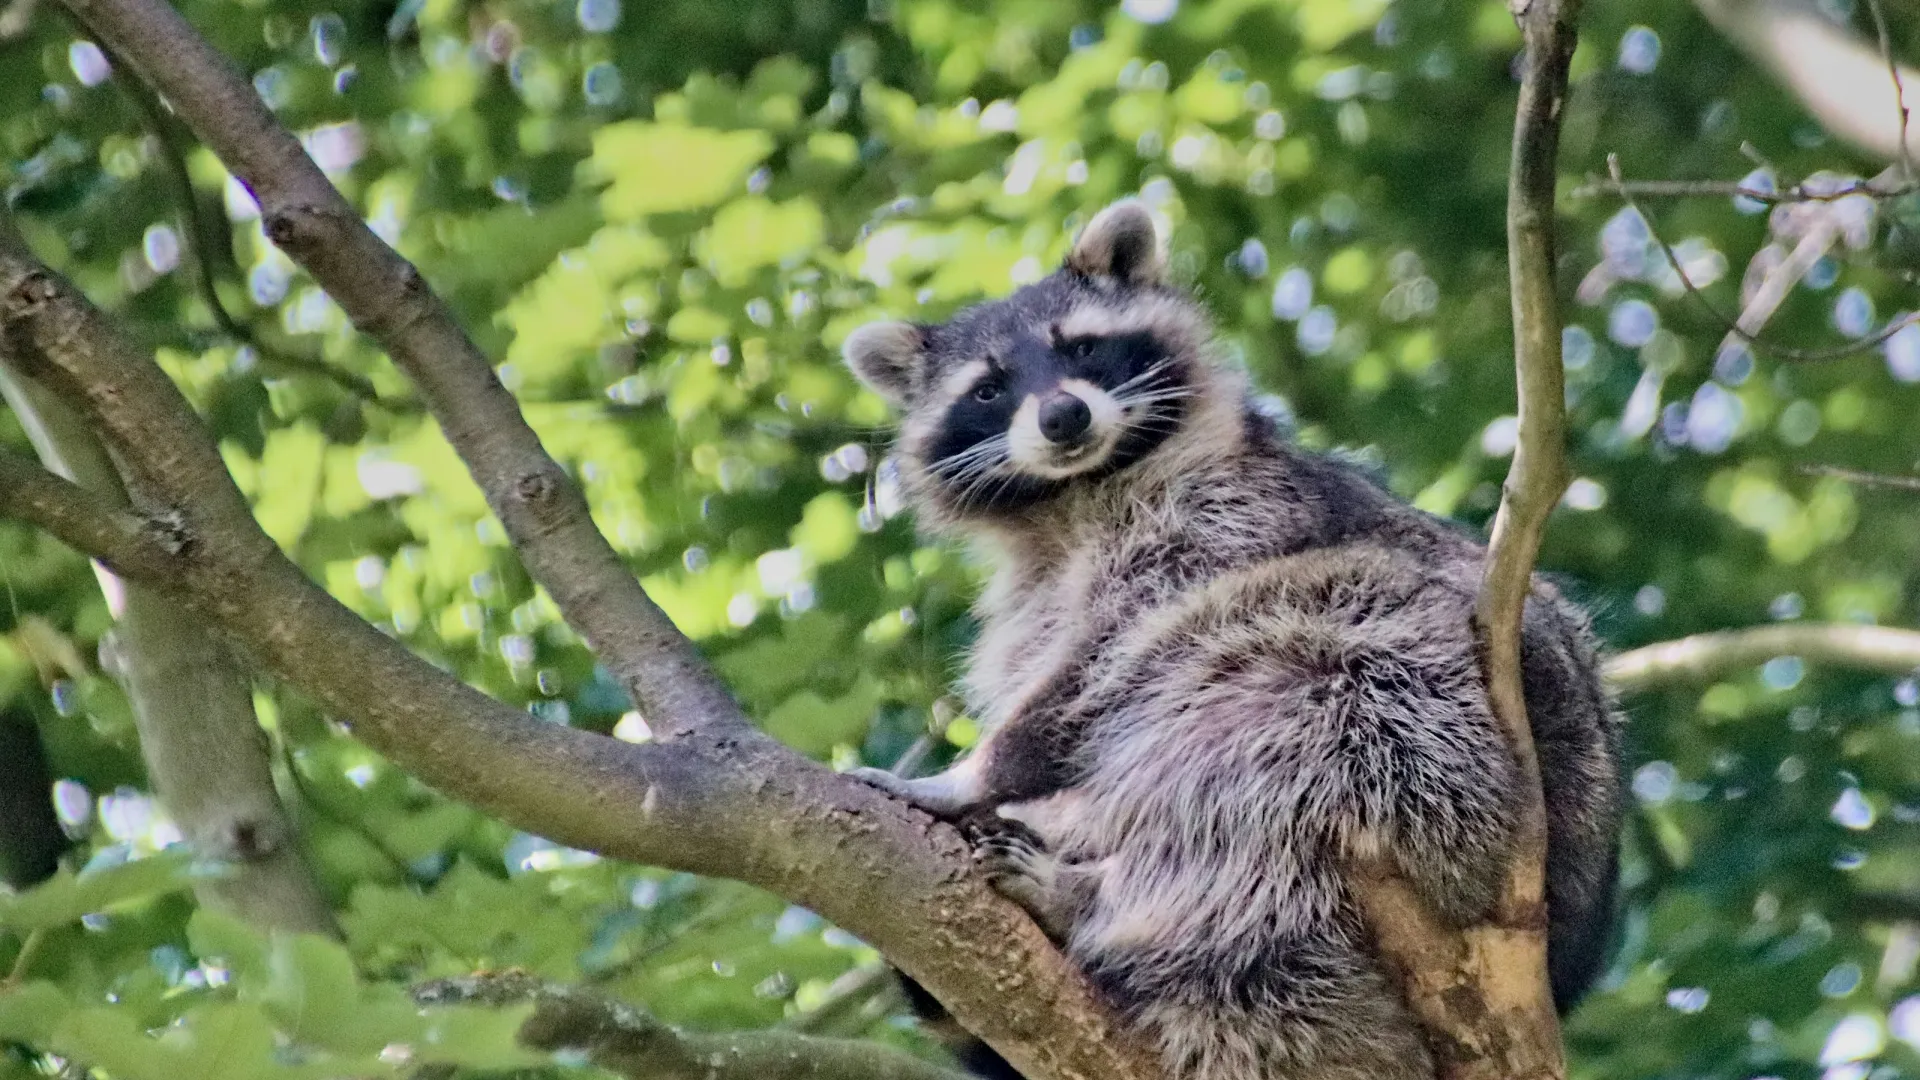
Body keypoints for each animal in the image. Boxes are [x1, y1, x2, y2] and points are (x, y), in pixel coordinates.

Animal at [848, 201, 1612, 1076]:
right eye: (990, 387)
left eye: (1082, 347)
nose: (1064, 415)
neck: (1074, 498)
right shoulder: (1033, 595)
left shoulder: (1234, 515)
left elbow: (1104, 667)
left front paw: (971, 773)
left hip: (1439, 741)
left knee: (1254, 746)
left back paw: (1094, 898)